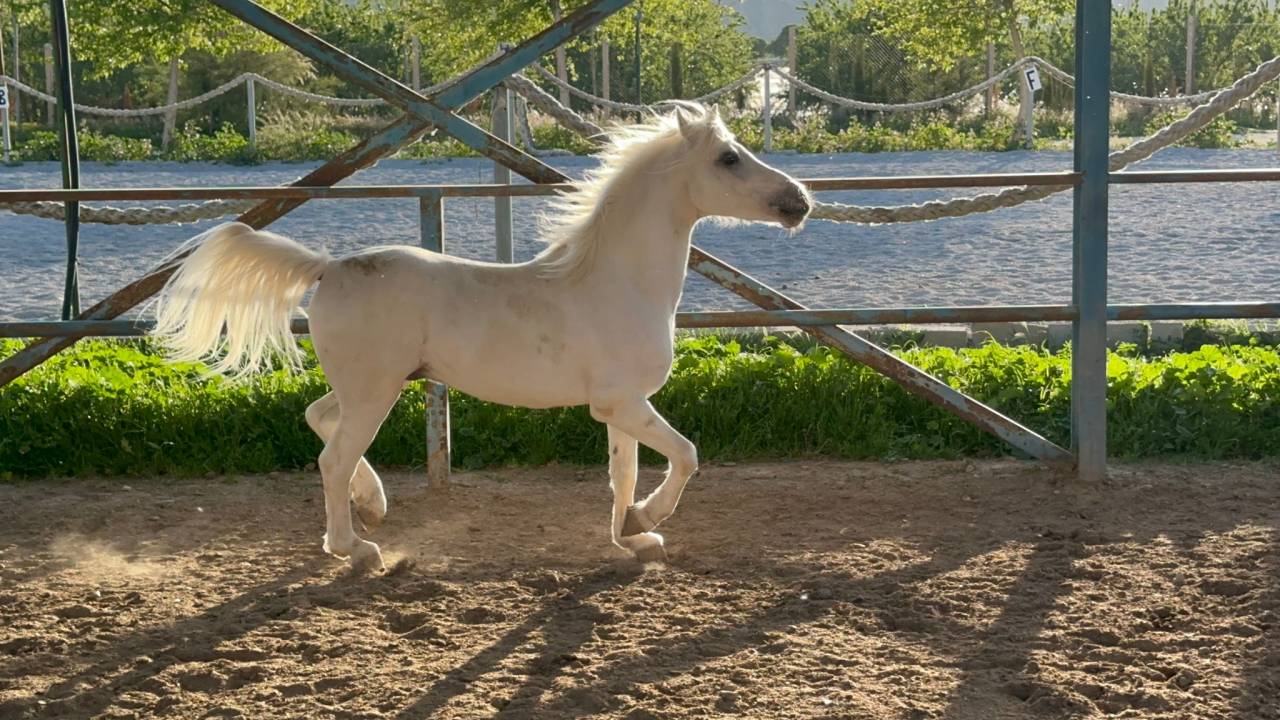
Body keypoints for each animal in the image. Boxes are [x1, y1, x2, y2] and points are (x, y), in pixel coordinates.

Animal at [151, 103, 811, 572]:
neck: (619, 283)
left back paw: (373, 506)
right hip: (375, 392)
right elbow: (687, 455)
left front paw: (633, 537)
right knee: (332, 457)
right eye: (728, 158)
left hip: (370, 385)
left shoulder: (620, 406)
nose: (799, 201)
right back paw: (355, 548)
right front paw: (648, 520)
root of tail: (329, 267)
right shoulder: (622, 402)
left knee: (319, 418)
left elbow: (622, 474)